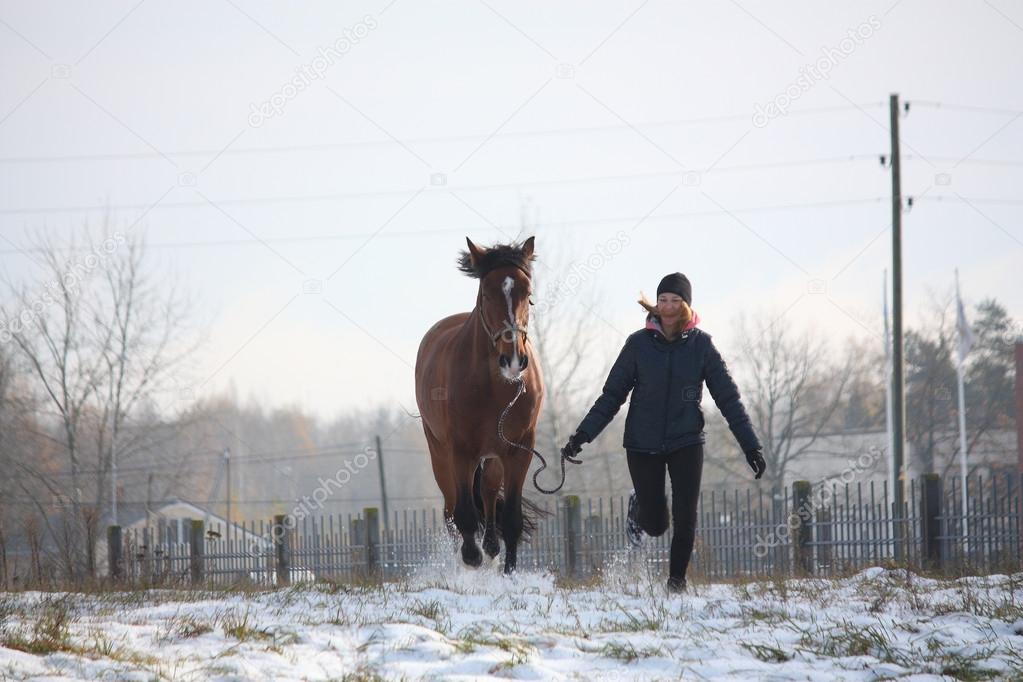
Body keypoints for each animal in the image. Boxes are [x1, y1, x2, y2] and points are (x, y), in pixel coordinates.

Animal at [413, 237, 548, 572]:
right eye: (487, 292)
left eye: (528, 294)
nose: (513, 360)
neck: (496, 388)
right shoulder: (460, 451)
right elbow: (464, 515)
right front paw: (470, 557)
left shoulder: (519, 451)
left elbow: (510, 519)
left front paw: (509, 571)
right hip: (440, 454)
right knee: (451, 510)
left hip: (494, 456)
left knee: (487, 492)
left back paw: (490, 547)